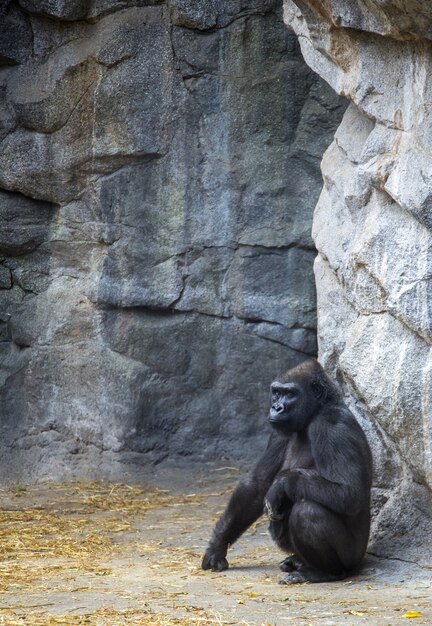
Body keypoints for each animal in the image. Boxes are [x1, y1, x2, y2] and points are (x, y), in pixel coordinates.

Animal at [201, 358, 372, 584]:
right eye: (276, 392)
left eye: (290, 394)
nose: (276, 407)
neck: (316, 410)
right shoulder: (278, 433)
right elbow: (257, 485)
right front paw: (217, 545)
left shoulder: (333, 424)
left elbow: (349, 492)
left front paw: (282, 484)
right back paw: (297, 561)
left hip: (353, 557)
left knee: (307, 511)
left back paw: (323, 572)